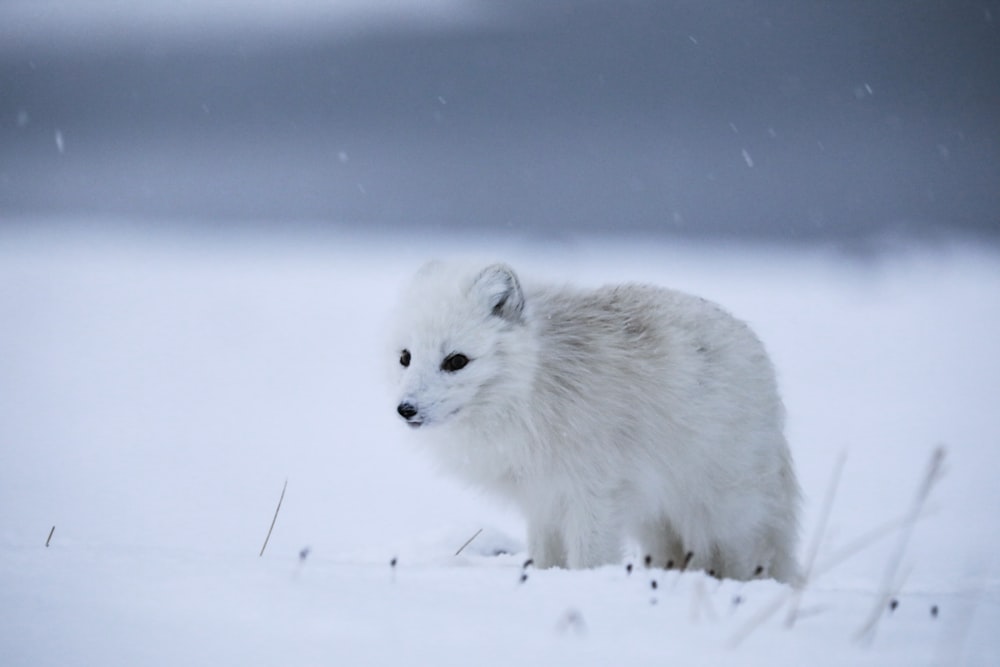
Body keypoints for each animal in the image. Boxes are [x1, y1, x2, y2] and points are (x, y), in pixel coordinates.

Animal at [394, 262, 800, 584]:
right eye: (405, 357)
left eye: (456, 361)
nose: (405, 409)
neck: (533, 385)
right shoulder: (542, 498)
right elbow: (546, 558)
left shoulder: (593, 493)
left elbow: (588, 558)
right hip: (658, 520)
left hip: (723, 512)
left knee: (745, 557)